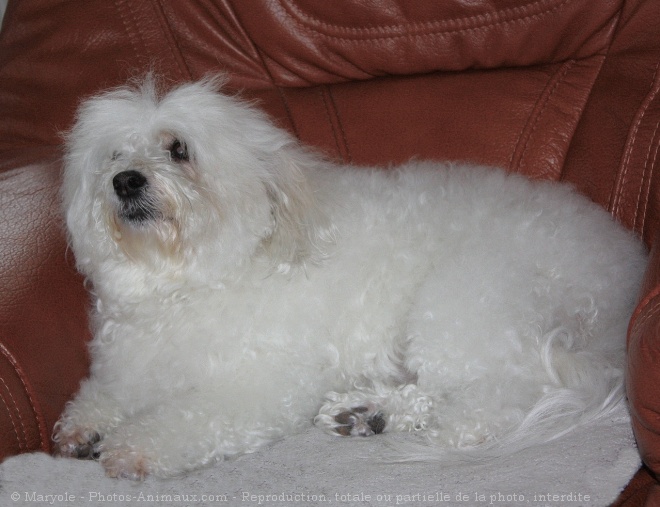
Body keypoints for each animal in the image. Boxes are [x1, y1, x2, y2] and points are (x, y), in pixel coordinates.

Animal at [54, 75, 648, 480]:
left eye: (179, 149)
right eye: (115, 154)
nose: (125, 180)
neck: (182, 283)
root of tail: (615, 302)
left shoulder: (259, 385)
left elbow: (185, 420)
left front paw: (133, 447)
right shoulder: (128, 369)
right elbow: (102, 395)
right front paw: (83, 428)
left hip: (463, 302)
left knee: (495, 399)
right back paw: (368, 412)